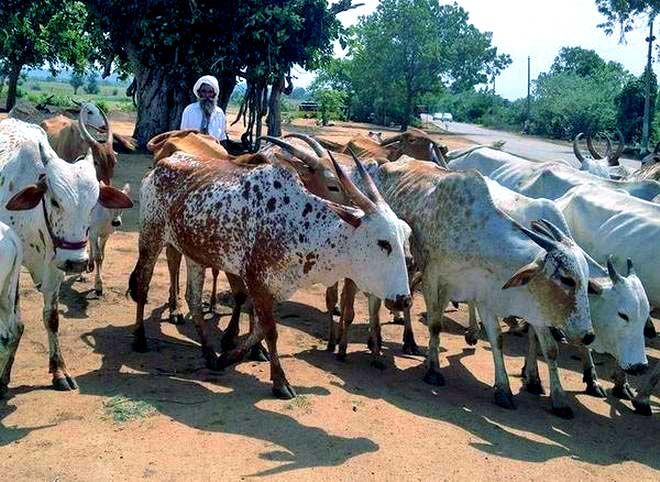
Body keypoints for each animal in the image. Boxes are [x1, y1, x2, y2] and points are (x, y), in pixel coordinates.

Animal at [0, 117, 133, 392]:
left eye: (93, 204)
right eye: (54, 201)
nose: (77, 263)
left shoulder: (54, 268)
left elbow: (51, 318)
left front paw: (59, 371)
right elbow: (15, 324)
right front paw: (4, 375)